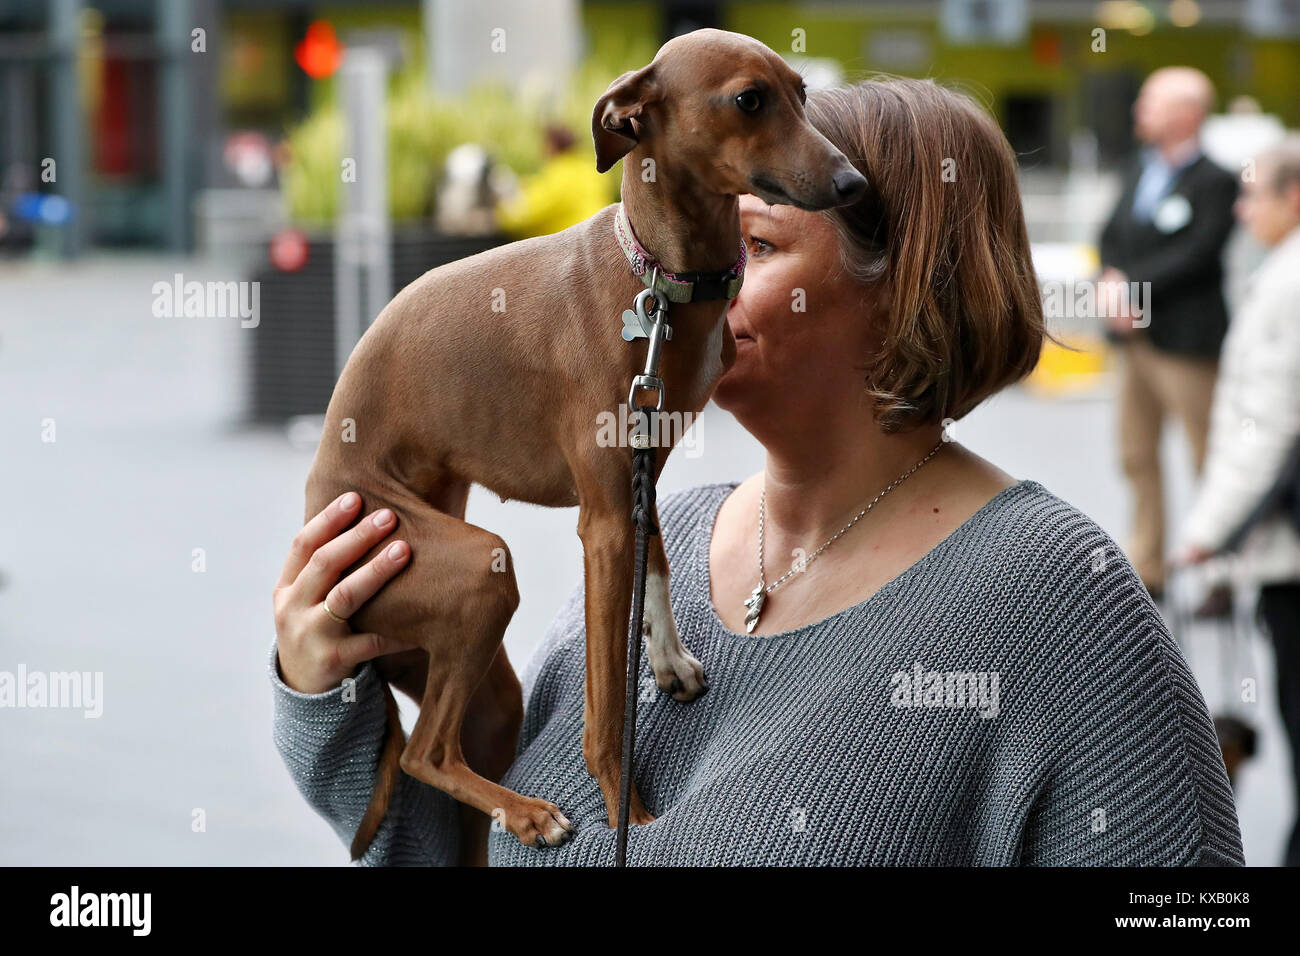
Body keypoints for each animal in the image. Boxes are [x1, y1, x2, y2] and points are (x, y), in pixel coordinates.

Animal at [305, 27, 868, 868]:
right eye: (749, 99)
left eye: (802, 91)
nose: (853, 183)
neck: (662, 285)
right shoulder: (601, 525)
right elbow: (606, 719)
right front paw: (628, 818)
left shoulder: (640, 473)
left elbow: (658, 561)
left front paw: (667, 660)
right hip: (474, 566)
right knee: (424, 754)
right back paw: (529, 814)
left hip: (481, 677)